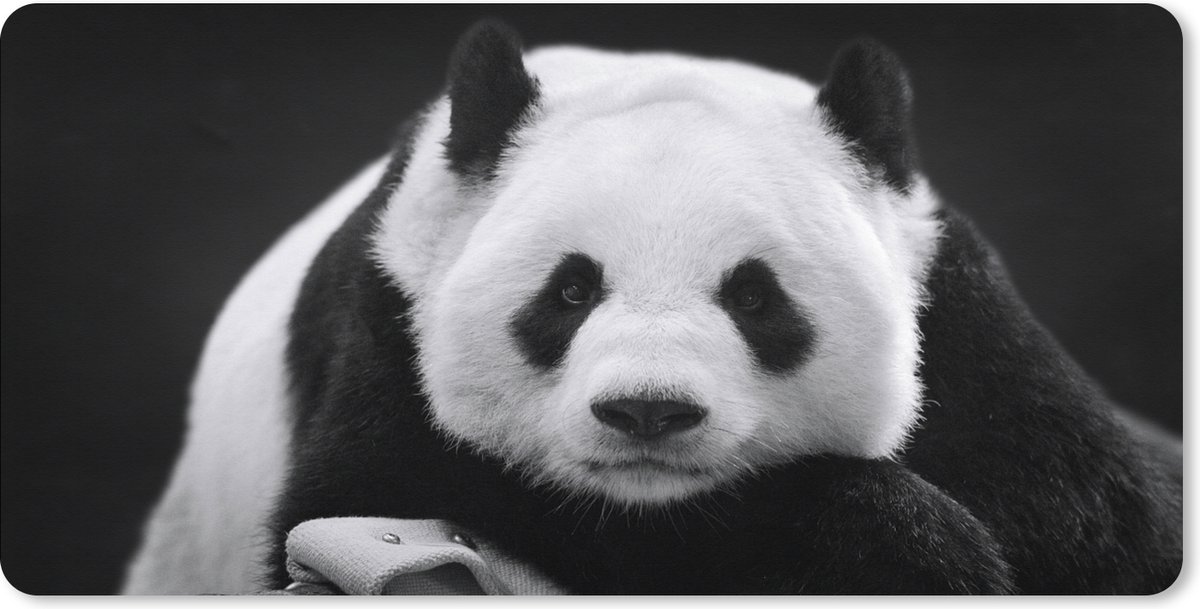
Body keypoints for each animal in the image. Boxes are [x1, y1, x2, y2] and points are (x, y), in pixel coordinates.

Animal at [122, 21, 1182, 595]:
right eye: (571, 289)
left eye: (754, 295)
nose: (647, 412)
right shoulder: (391, 317)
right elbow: (380, 487)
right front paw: (907, 545)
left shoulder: (967, 329)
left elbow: (1110, 530)